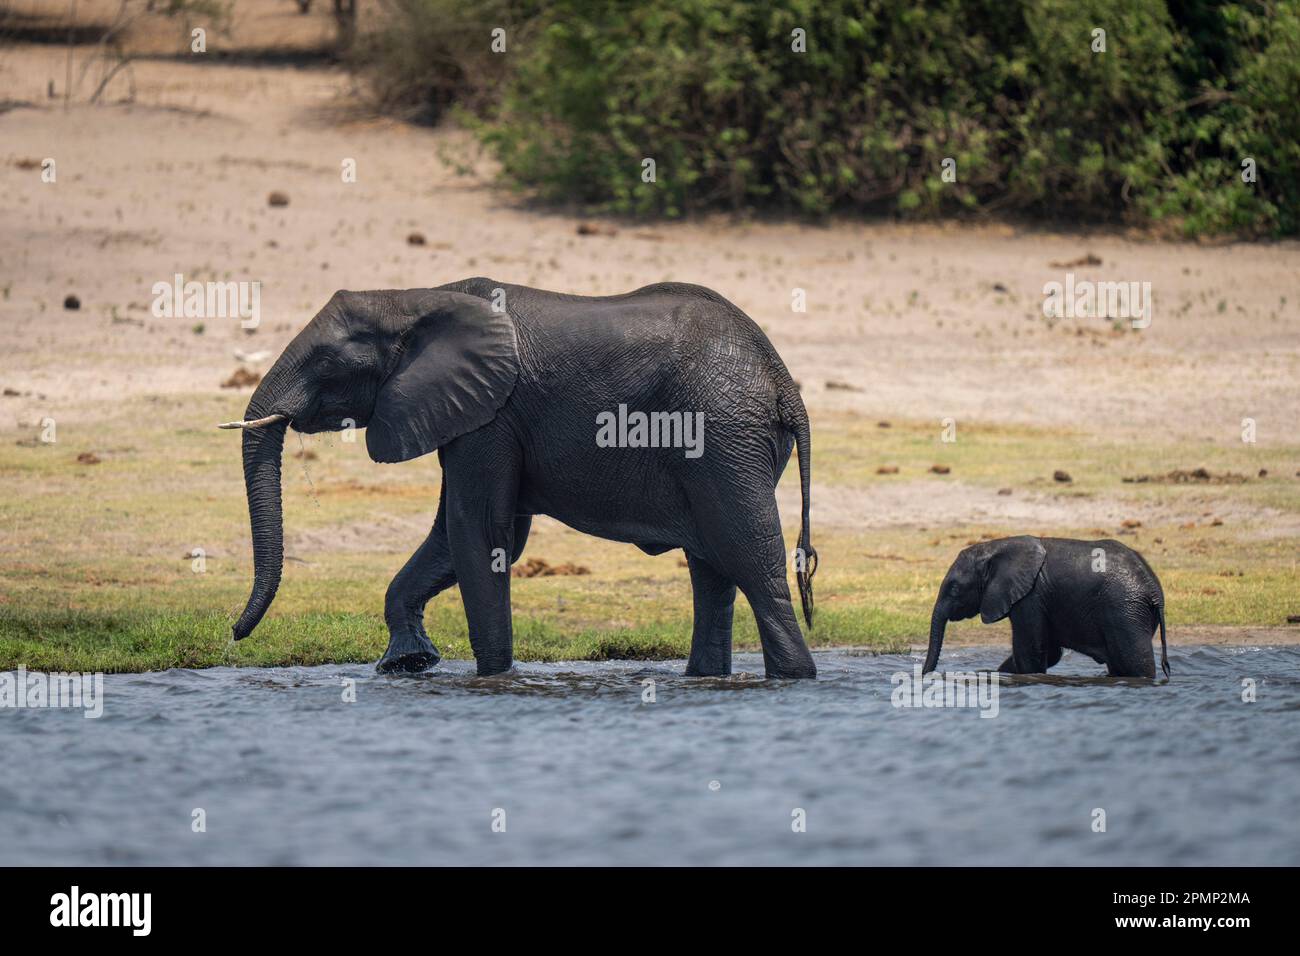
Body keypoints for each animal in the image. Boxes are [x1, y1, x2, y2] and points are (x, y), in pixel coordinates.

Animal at [219, 278, 819, 679]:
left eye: (325, 361)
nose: (233, 633)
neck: (414, 298)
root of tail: (782, 380)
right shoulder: (475, 415)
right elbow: (455, 537)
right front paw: (408, 662)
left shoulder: (493, 413)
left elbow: (479, 534)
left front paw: (493, 679)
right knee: (711, 570)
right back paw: (707, 679)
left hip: (722, 434)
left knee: (749, 559)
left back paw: (795, 678)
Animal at [923, 535, 1169, 678]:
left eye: (954, 588)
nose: (924, 676)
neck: (994, 547)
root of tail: (1154, 591)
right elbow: (1048, 652)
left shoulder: (1031, 596)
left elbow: (1031, 653)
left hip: (1125, 611)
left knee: (1137, 664)